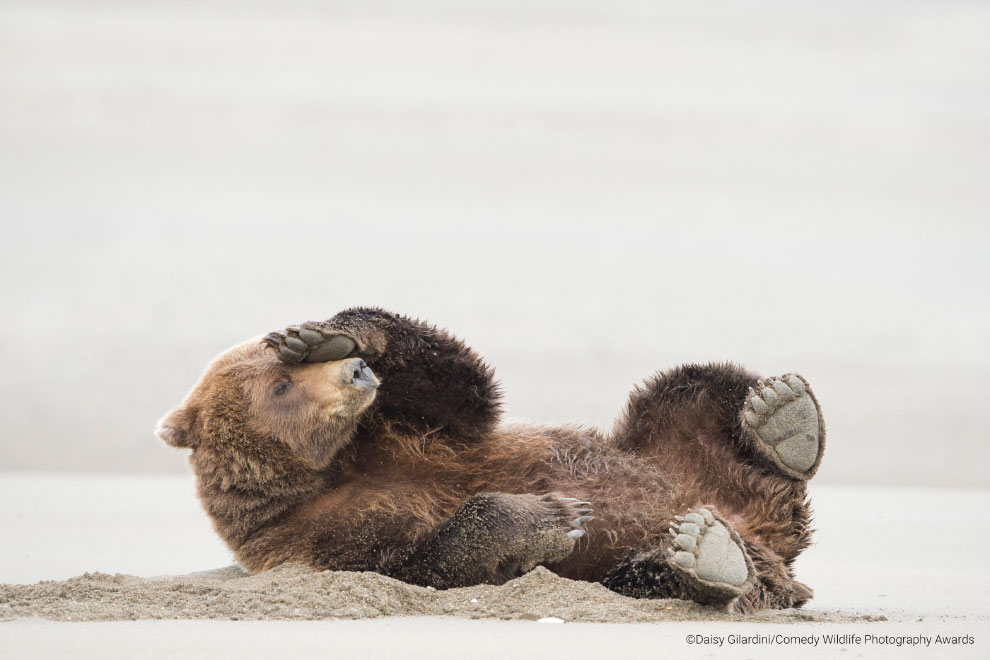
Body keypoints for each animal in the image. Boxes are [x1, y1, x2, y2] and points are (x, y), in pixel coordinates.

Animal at [159, 306, 824, 612]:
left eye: (284, 368)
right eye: (279, 388)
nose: (356, 372)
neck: (331, 467)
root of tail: (762, 526)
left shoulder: (408, 430)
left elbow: (457, 383)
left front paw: (325, 334)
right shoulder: (314, 538)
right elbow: (419, 561)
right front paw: (553, 517)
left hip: (665, 446)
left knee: (691, 388)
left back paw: (784, 420)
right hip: (676, 551)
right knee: (651, 573)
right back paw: (706, 557)